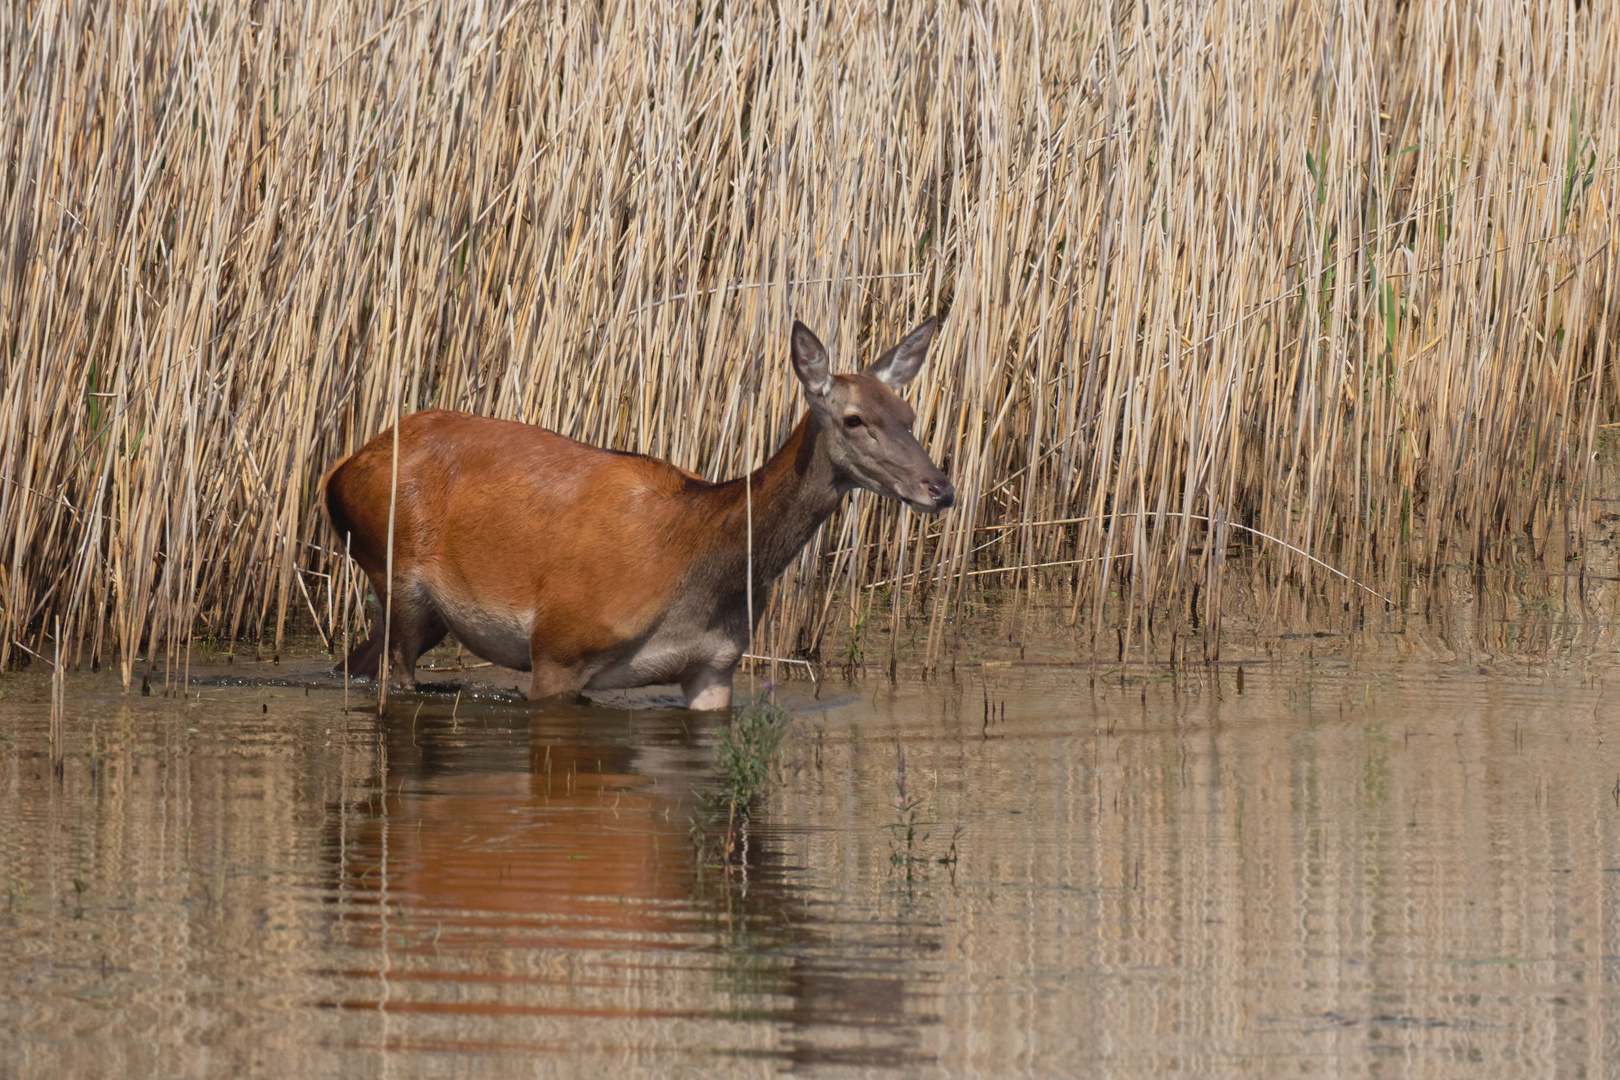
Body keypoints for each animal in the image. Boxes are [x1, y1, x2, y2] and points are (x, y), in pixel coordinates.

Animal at [324, 318, 952, 709]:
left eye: (909, 414)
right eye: (854, 419)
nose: (940, 487)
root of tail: (339, 471)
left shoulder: (715, 666)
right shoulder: (559, 646)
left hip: (428, 612)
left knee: (352, 663)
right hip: (394, 574)